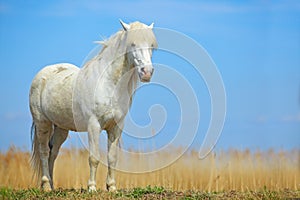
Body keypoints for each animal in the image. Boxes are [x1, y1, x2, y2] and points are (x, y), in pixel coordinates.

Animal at [29, 20, 157, 192]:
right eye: (132, 44)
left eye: (151, 45)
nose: (147, 72)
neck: (108, 84)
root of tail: (42, 74)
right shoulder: (93, 125)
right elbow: (94, 158)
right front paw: (92, 187)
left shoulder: (116, 127)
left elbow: (112, 157)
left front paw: (112, 187)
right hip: (42, 123)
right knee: (43, 151)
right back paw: (46, 186)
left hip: (61, 128)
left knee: (53, 152)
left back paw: (52, 184)